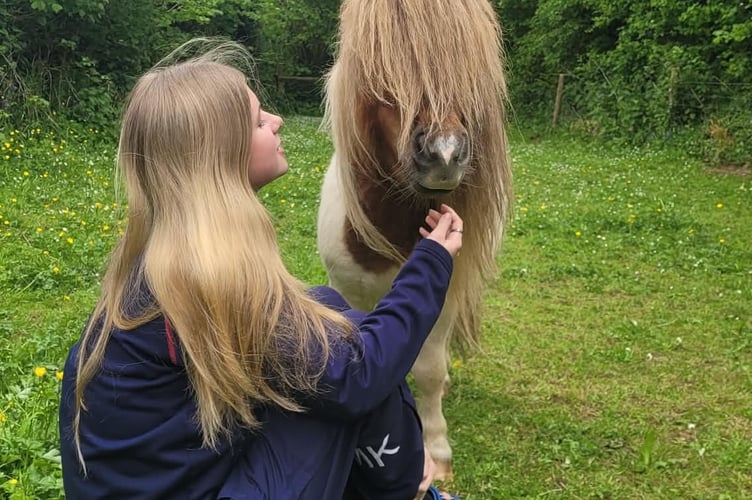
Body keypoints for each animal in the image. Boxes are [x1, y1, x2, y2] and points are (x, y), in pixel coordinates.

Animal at [316, 0, 513, 480]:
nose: (444, 155)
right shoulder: (346, 291)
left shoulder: (443, 299)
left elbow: (428, 369)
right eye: (381, 74)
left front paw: (436, 454)